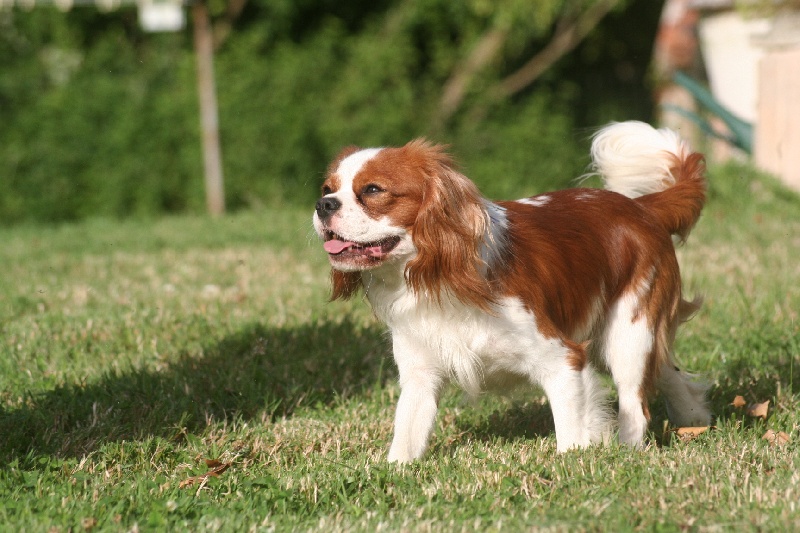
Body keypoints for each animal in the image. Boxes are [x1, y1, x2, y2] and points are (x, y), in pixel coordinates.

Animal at [312, 120, 712, 462]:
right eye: (327, 189)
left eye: (372, 190)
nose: (323, 205)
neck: (436, 278)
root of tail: (640, 206)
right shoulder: (420, 374)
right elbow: (407, 435)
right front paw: (397, 471)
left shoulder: (562, 360)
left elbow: (571, 433)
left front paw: (573, 465)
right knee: (667, 370)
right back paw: (694, 416)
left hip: (628, 332)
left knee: (635, 404)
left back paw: (631, 451)